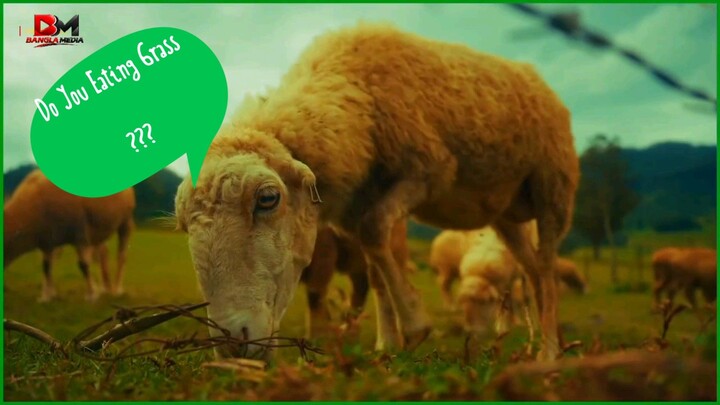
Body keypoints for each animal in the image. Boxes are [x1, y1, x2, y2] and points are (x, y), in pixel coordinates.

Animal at [4, 169, 136, 301]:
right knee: (103, 254)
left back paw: (117, 289)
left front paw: (92, 294)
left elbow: (83, 265)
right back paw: (105, 288)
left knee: (121, 255)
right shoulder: (47, 241)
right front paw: (46, 296)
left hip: (125, 221)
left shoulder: (80, 233)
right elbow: (46, 267)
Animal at [175, 22, 579, 360]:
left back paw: (547, 353)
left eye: (267, 199)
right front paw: (388, 344)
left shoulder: (429, 170)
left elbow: (374, 234)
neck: (356, 96)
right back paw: (549, 341)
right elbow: (373, 263)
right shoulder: (357, 204)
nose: (231, 342)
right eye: (182, 224)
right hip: (506, 215)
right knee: (532, 271)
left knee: (546, 267)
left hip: (553, 188)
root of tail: (537, 77)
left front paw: (414, 326)